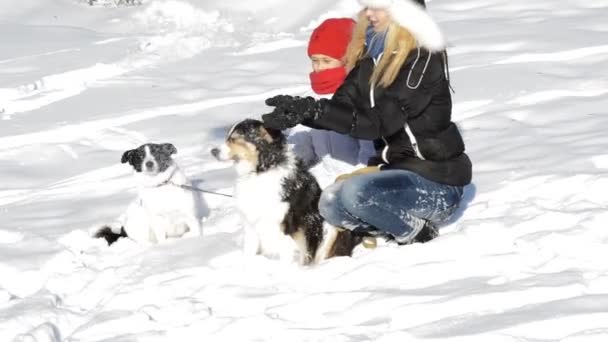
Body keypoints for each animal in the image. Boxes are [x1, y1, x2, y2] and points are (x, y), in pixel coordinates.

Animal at [211, 119, 360, 266]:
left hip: (330, 227)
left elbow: (287, 256)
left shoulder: (286, 229)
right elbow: (249, 251)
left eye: (234, 139)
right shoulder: (250, 223)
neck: (262, 170)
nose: (213, 151)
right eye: (227, 137)